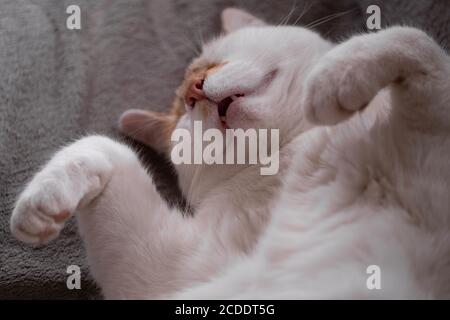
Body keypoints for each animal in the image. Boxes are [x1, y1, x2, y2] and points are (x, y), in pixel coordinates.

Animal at [9, 7, 450, 298]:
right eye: (184, 110)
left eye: (210, 62)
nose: (195, 90)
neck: (291, 151)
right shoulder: (174, 272)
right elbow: (103, 146)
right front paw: (42, 202)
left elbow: (415, 41)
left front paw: (336, 73)